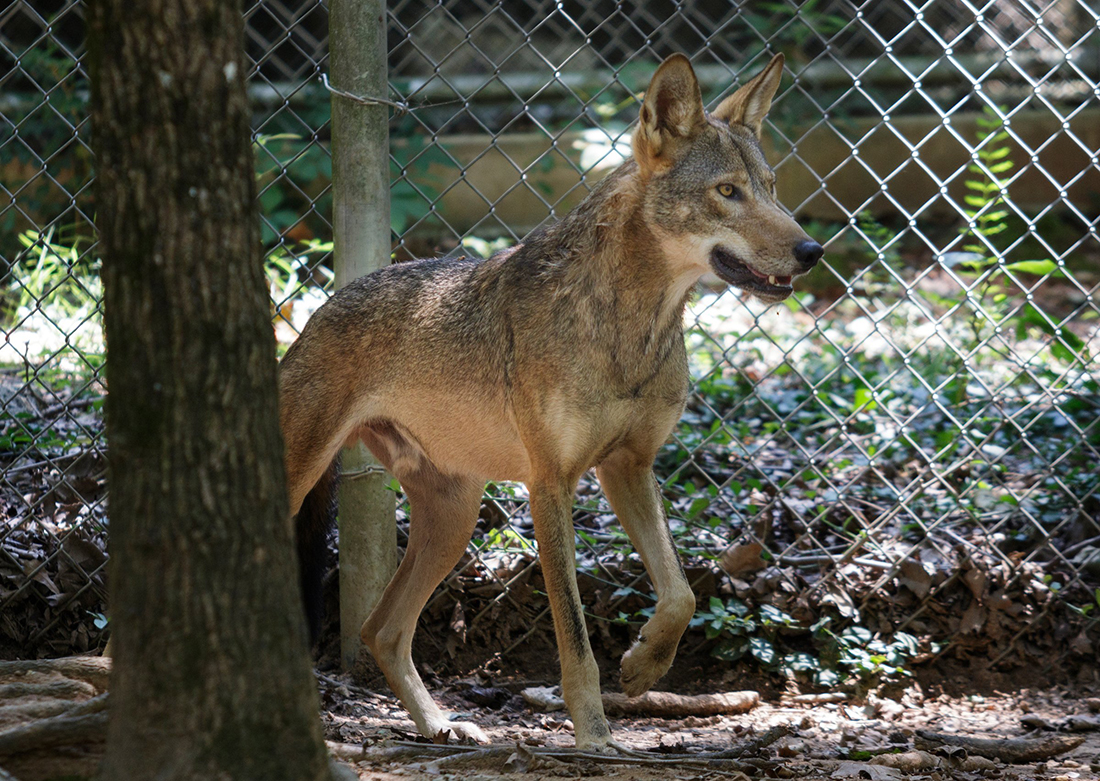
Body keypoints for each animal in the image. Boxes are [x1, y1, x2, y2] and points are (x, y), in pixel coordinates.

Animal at [280, 52, 822, 750]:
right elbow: (574, 633)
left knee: (383, 631)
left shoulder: (628, 467)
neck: (632, 328)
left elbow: (681, 596)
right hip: (312, 487)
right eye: (728, 192)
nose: (812, 251)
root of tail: (316, 313)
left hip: (454, 520)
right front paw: (594, 734)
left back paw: (439, 725)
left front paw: (643, 668)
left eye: (772, 187)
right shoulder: (551, 483)